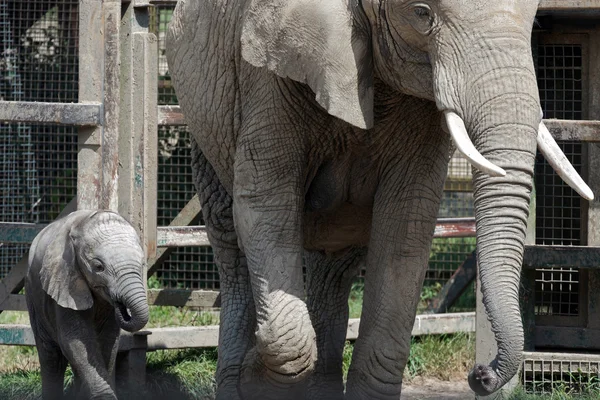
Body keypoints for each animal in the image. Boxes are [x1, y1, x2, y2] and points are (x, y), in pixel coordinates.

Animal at [26, 211, 150, 398]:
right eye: (98, 267)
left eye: (142, 263)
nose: (123, 308)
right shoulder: (64, 283)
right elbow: (76, 340)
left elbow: (108, 341)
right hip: (33, 296)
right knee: (51, 356)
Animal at [166, 1, 592, 398]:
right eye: (422, 14)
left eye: (534, 21)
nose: (480, 375)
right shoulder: (268, 75)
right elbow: (265, 202)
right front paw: (254, 376)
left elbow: (406, 224)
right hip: (206, 131)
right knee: (233, 246)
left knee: (334, 265)